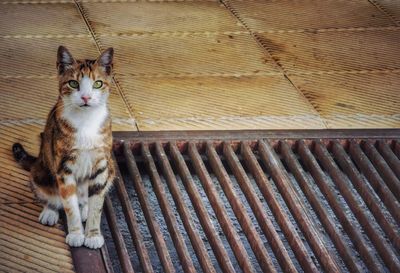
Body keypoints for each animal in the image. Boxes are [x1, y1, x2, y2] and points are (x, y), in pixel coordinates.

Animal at [12, 45, 115, 249]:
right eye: (74, 83)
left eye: (98, 84)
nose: (86, 97)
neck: (86, 121)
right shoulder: (63, 168)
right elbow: (69, 205)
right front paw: (76, 234)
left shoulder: (102, 165)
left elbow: (96, 206)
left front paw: (92, 235)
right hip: (41, 172)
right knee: (51, 196)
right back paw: (50, 211)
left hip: (112, 169)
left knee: (86, 199)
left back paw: (84, 208)